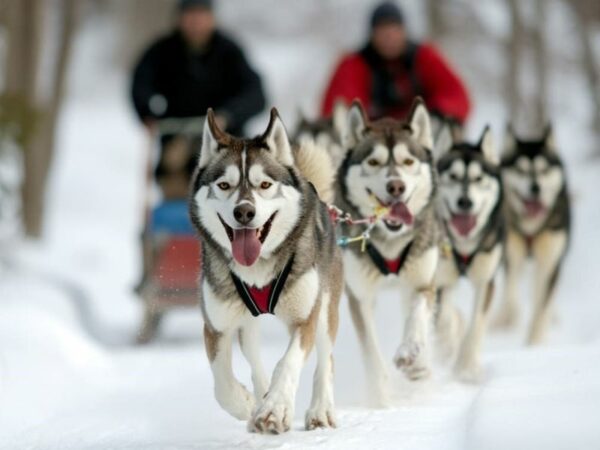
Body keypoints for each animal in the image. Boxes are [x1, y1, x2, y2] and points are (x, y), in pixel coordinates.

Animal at [190, 108, 344, 432]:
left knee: (326, 359)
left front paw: (274, 409)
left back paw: (320, 410)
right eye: (224, 185)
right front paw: (249, 405)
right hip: (246, 325)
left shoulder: (305, 318)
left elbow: (287, 363)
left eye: (264, 185)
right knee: (254, 357)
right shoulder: (216, 326)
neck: (257, 271)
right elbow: (222, 385)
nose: (244, 212)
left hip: (325, 309)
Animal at [434, 125, 504, 382]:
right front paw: (448, 343)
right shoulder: (440, 278)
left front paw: (467, 367)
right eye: (452, 177)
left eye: (478, 178)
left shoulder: (486, 280)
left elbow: (477, 324)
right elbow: (444, 318)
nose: (465, 201)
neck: (464, 245)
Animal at [492, 125, 572, 342]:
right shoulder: (511, 253)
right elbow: (511, 290)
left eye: (544, 170)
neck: (531, 228)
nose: (536, 187)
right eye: (520, 170)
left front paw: (535, 341)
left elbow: (542, 305)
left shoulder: (550, 261)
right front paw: (511, 316)